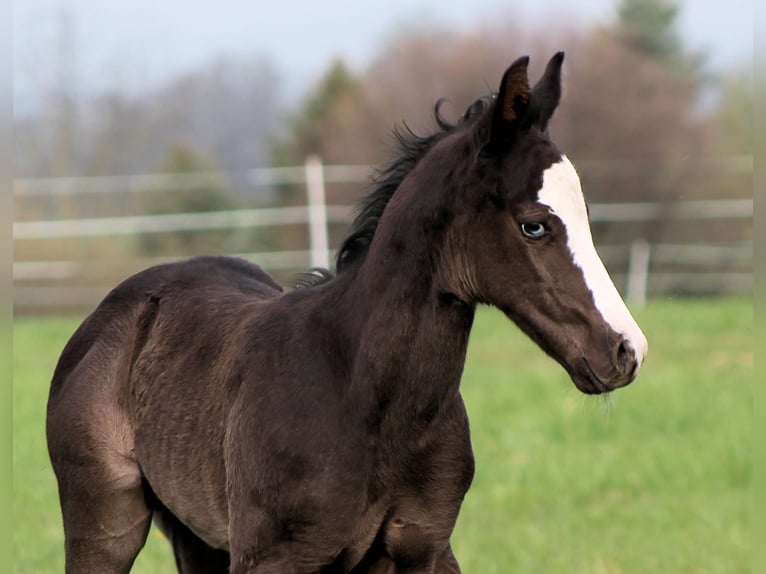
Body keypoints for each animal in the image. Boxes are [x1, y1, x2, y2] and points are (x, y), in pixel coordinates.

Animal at [46, 53, 648, 573]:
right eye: (534, 225)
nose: (626, 350)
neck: (363, 398)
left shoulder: (426, 547)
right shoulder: (272, 558)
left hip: (198, 536)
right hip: (107, 523)